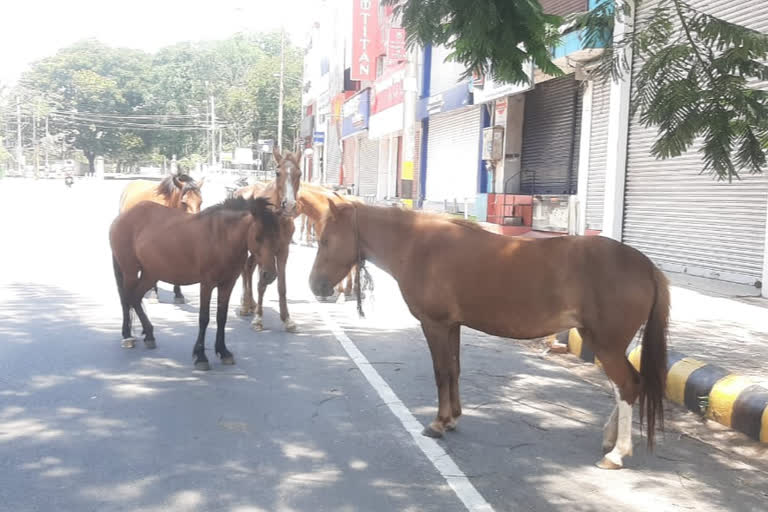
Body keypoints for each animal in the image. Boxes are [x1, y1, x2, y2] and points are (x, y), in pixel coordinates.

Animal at [111, 194, 280, 370]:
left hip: (150, 274)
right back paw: (127, 336)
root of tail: (122, 217)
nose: (269, 275)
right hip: (130, 272)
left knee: (135, 299)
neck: (222, 237)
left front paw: (223, 351)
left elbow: (221, 317)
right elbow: (204, 318)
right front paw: (201, 356)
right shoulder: (207, 284)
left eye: (277, 236)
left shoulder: (227, 284)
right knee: (126, 300)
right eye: (258, 237)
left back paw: (149, 335)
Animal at [237, 148, 304, 332]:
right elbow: (263, 281)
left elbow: (281, 285)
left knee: (248, 269)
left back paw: (250, 303)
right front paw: (258, 319)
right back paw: (245, 305)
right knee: (245, 269)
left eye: (300, 173)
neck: (275, 218)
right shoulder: (263, 250)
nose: (289, 205)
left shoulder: (283, 251)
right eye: (277, 172)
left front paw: (287, 319)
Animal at [308, 202, 668, 470]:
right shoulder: (452, 325)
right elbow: (454, 370)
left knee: (628, 385)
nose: (315, 286)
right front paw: (452, 418)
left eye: (325, 240)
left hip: (606, 344)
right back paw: (610, 439)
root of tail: (646, 266)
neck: (420, 246)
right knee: (625, 386)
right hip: (603, 342)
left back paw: (617, 454)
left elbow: (441, 372)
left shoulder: (434, 324)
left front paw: (438, 424)